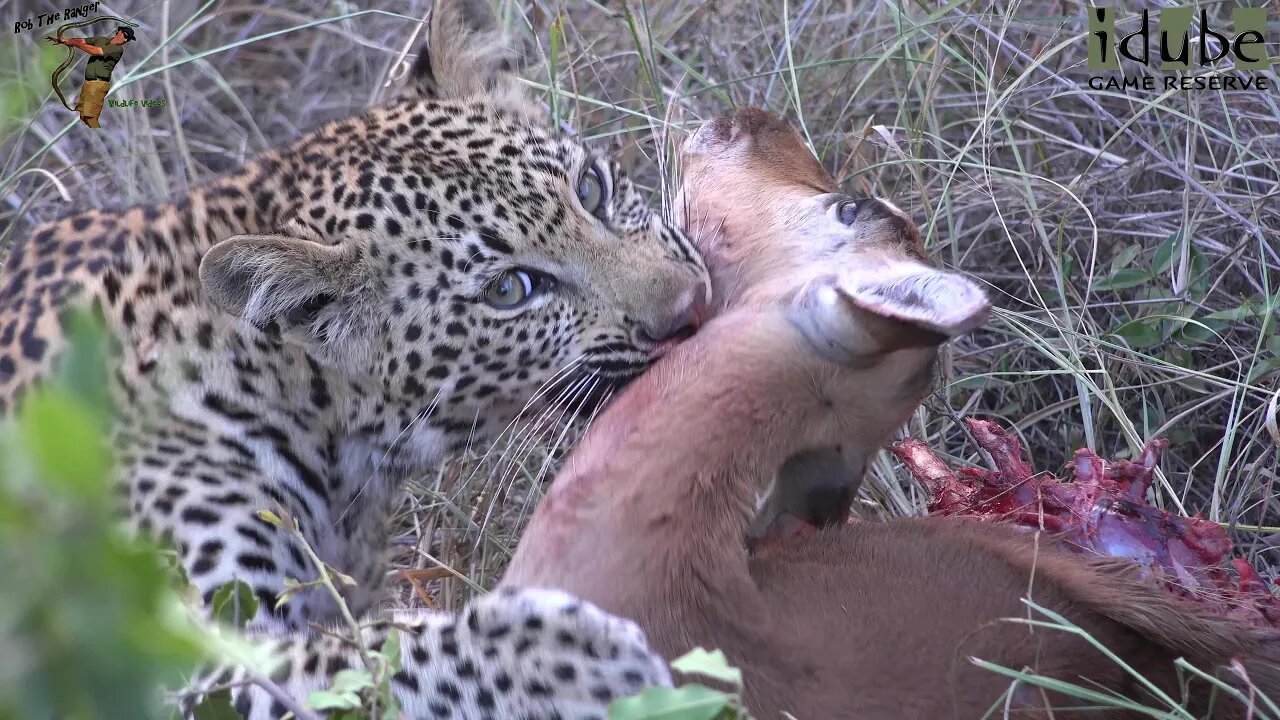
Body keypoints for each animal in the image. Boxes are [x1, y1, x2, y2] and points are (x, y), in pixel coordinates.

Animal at [0, 0, 701, 712]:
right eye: (509, 290)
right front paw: (559, 658)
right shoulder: (148, 654)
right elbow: (370, 665)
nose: (692, 307)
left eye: (591, 189)